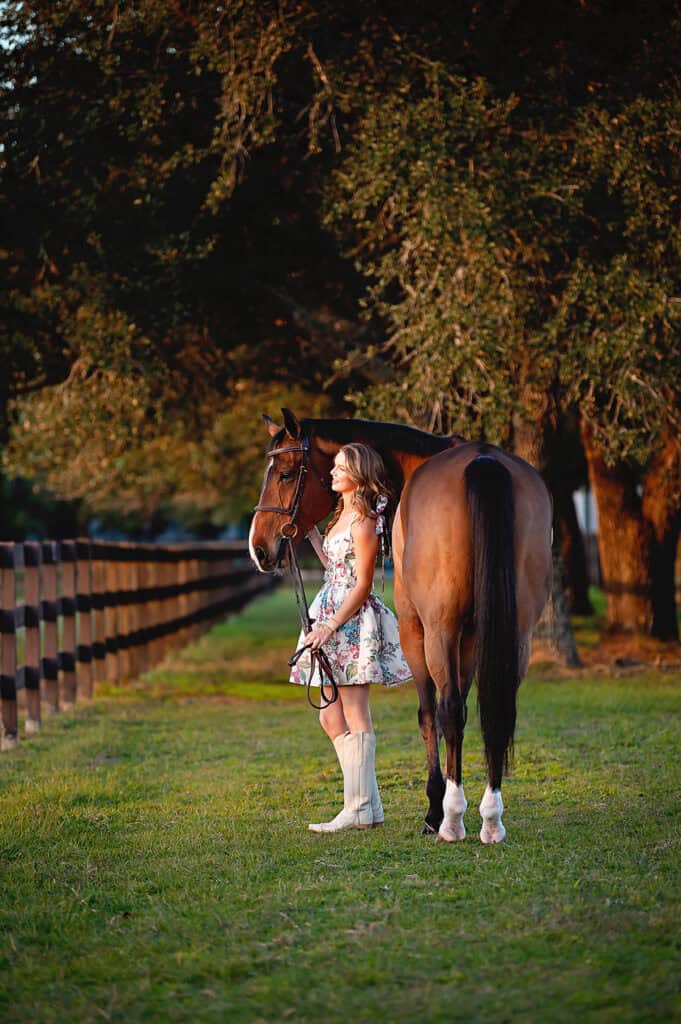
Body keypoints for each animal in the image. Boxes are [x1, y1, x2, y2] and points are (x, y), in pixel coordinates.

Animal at [249, 407, 552, 847]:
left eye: (286, 474)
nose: (259, 549)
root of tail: (484, 461)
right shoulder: (471, 636)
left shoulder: (416, 629)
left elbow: (429, 714)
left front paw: (434, 809)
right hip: (517, 633)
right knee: (497, 708)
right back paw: (492, 819)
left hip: (438, 629)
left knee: (448, 710)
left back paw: (451, 821)